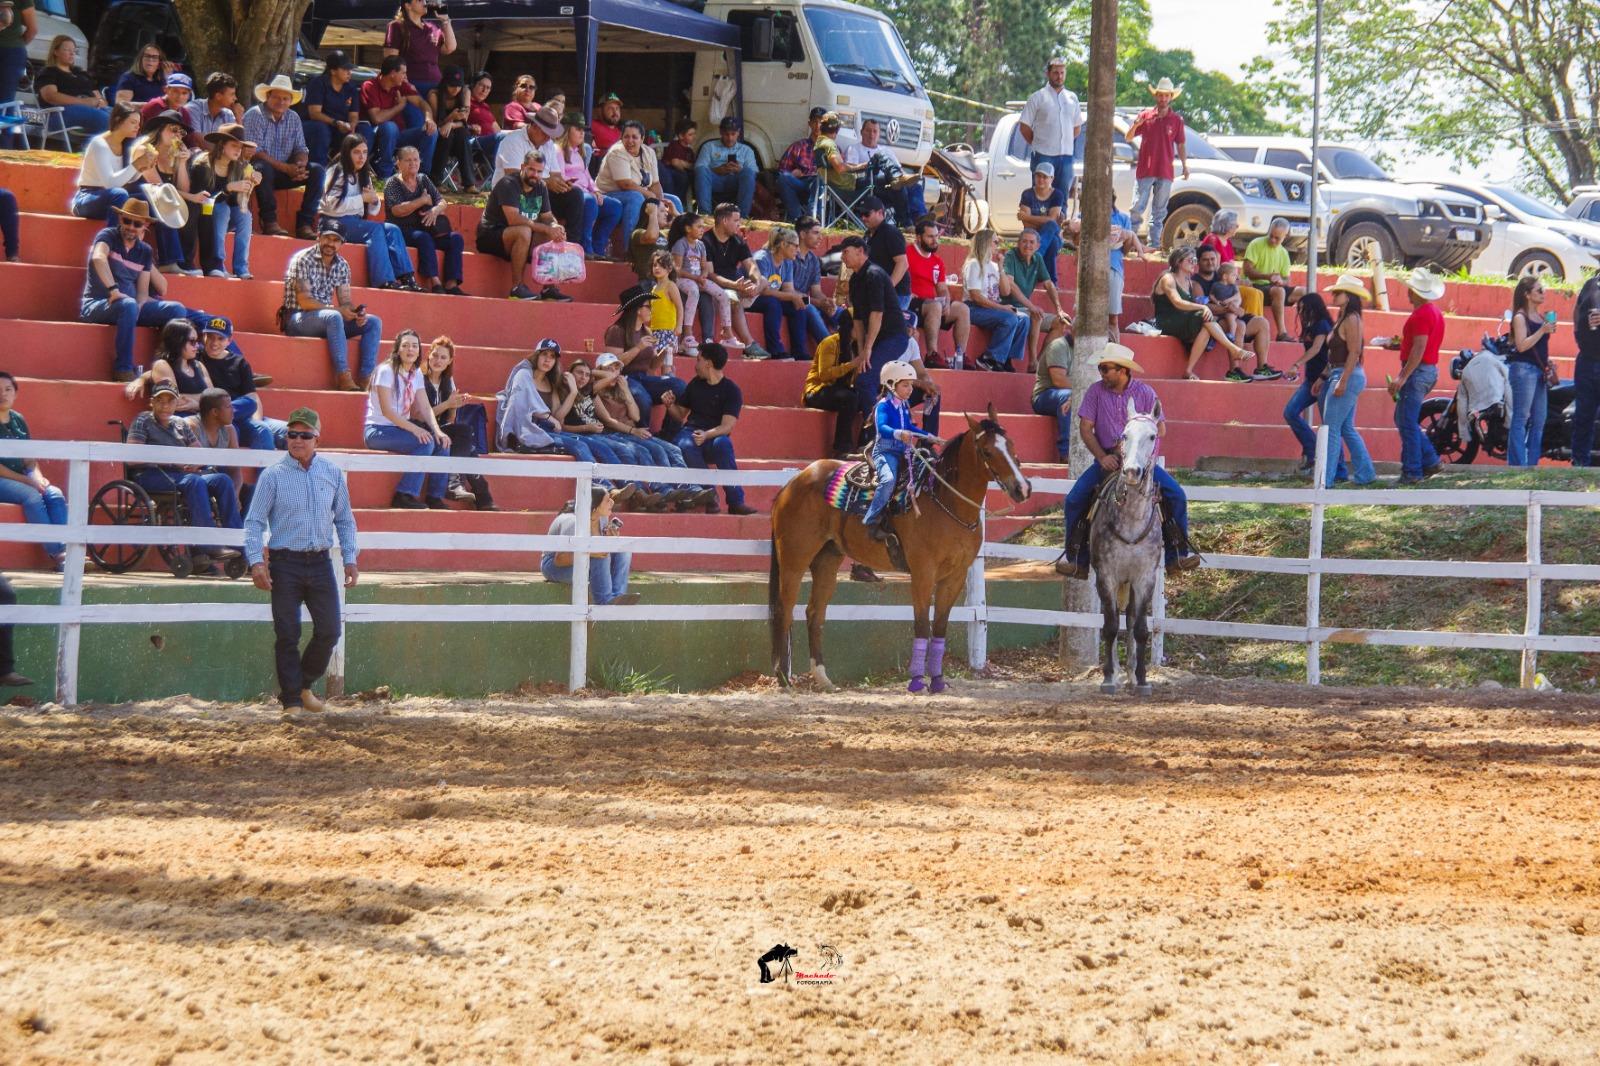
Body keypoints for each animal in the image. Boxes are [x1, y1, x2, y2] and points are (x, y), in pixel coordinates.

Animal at [769, 404, 1031, 692]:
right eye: (987, 451)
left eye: (1011, 445)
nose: (1022, 488)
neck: (945, 503)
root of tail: (792, 484)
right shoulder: (922, 573)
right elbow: (922, 626)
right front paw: (917, 681)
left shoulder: (955, 577)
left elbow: (940, 628)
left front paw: (937, 681)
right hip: (794, 558)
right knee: (784, 610)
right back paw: (784, 679)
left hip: (827, 560)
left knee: (815, 613)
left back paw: (823, 679)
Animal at [1089, 398, 1165, 696]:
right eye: (1124, 435)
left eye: (1152, 436)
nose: (1132, 471)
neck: (1131, 518)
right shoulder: (1106, 575)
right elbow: (1110, 626)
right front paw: (1109, 677)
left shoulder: (1145, 578)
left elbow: (1140, 628)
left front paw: (1142, 679)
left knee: (1131, 619)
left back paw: (1132, 672)